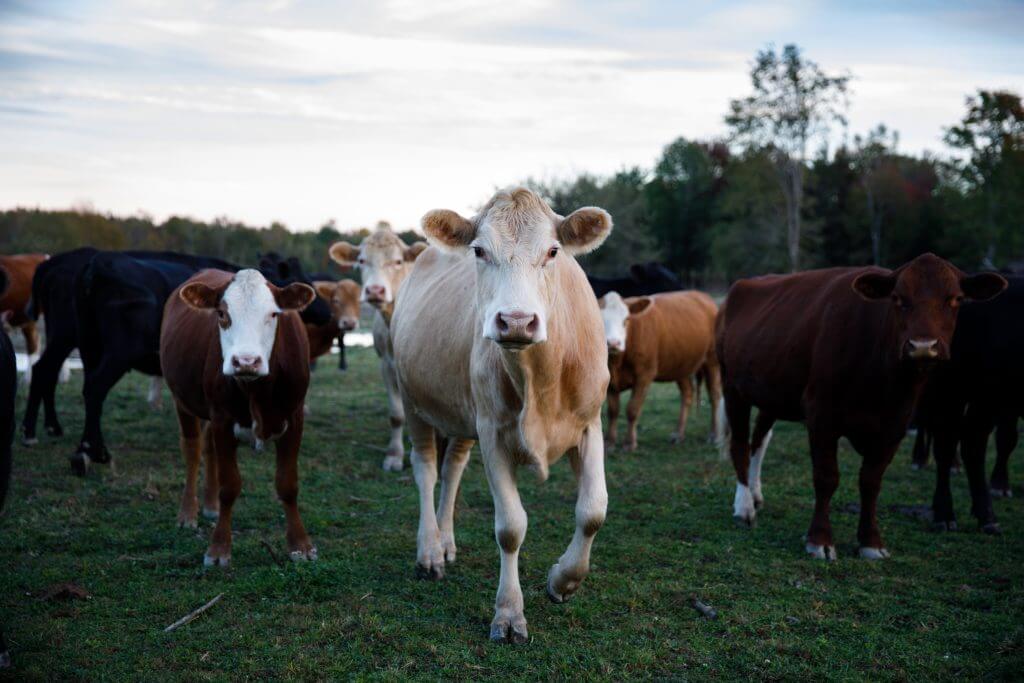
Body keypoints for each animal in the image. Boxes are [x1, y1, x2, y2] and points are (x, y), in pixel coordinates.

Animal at [161, 269, 317, 566]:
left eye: (274, 314)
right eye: (222, 313)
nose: (246, 361)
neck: (256, 390)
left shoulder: (295, 417)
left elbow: (288, 484)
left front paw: (300, 544)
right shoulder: (222, 419)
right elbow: (229, 486)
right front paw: (219, 548)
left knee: (208, 448)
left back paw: (210, 505)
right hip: (182, 400)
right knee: (193, 450)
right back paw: (188, 513)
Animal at [328, 228, 428, 471]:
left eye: (398, 261)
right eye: (361, 261)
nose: (375, 290)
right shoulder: (387, 365)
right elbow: (397, 415)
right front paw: (394, 455)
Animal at [391, 187, 612, 643]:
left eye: (553, 251)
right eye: (479, 250)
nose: (516, 321)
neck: (541, 380)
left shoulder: (589, 424)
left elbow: (593, 510)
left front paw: (563, 581)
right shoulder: (493, 433)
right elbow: (510, 527)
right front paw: (509, 614)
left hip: (461, 412)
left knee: (452, 469)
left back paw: (446, 542)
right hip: (413, 399)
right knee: (426, 470)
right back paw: (429, 551)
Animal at [599, 290, 722, 451]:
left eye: (626, 319)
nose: (613, 343)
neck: (617, 363)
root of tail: (702, 296)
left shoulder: (645, 375)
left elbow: (632, 409)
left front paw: (629, 443)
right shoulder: (611, 380)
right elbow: (613, 411)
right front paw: (609, 442)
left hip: (712, 360)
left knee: (714, 395)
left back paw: (714, 435)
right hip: (680, 365)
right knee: (687, 393)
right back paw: (678, 434)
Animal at [716, 254, 1006, 560]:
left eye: (956, 299)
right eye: (897, 298)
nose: (922, 346)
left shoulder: (895, 425)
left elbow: (871, 482)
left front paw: (871, 541)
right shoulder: (821, 415)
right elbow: (826, 477)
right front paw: (819, 539)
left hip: (771, 393)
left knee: (759, 440)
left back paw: (755, 493)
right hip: (732, 388)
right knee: (739, 444)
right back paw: (744, 506)